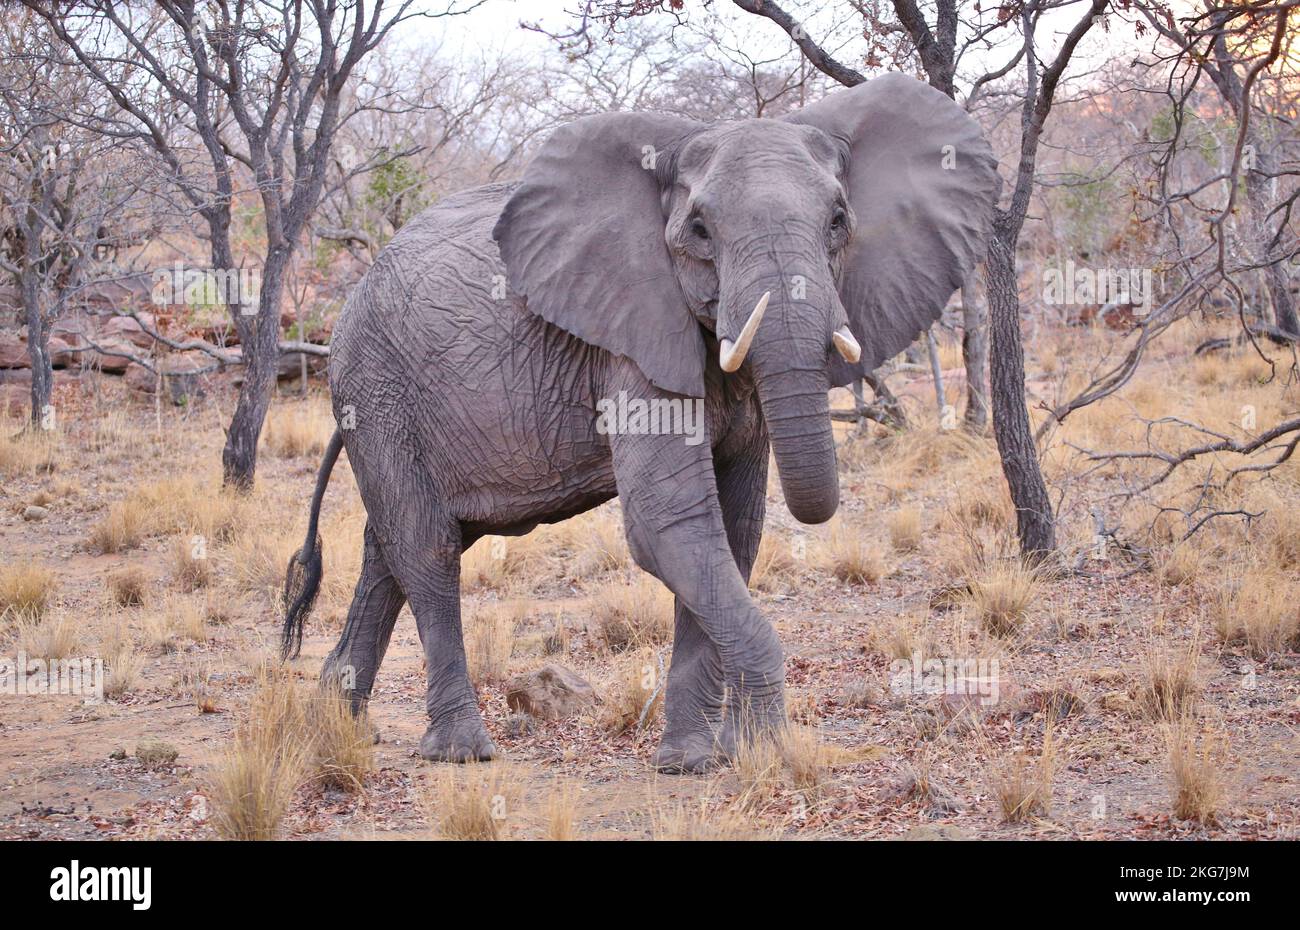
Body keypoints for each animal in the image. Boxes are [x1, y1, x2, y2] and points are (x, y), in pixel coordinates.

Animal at [281, 72, 999, 773]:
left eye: (839, 220)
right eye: (701, 230)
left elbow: (733, 530)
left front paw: (695, 761)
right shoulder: (629, 339)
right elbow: (670, 523)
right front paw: (763, 753)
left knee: (391, 549)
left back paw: (334, 723)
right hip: (374, 384)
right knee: (426, 546)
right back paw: (459, 751)